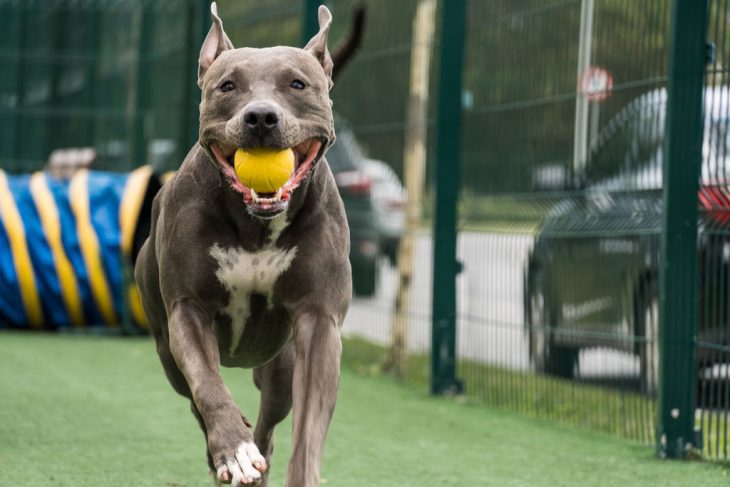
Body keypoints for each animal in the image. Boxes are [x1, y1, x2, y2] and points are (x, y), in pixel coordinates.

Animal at [136, 2, 350, 484]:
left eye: (298, 84)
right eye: (228, 86)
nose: (261, 117)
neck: (256, 228)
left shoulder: (319, 321)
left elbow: (310, 425)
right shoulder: (188, 311)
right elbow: (208, 386)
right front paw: (232, 449)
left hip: (281, 366)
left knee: (270, 424)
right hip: (165, 351)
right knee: (195, 398)